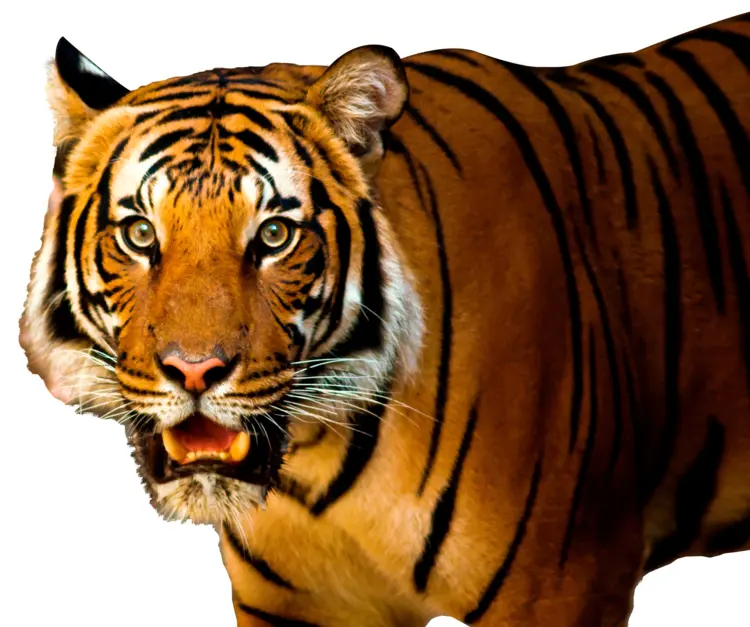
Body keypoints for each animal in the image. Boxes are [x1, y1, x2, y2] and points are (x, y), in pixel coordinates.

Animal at [19, 9, 750, 626]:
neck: (316, 464)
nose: (195, 372)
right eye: (140, 234)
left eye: (275, 234)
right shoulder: (291, 606)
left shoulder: (563, 586)